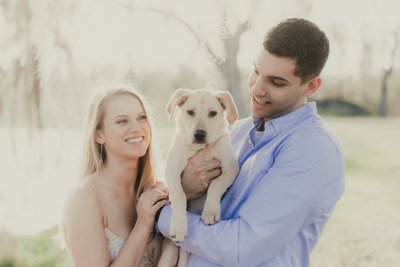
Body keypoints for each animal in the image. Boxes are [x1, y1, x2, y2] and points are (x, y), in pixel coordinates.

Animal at [158, 89, 239, 267]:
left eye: (213, 113)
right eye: (190, 112)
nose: (199, 134)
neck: (200, 148)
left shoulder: (230, 168)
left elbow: (216, 185)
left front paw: (210, 211)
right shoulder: (172, 168)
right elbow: (179, 194)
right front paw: (179, 225)